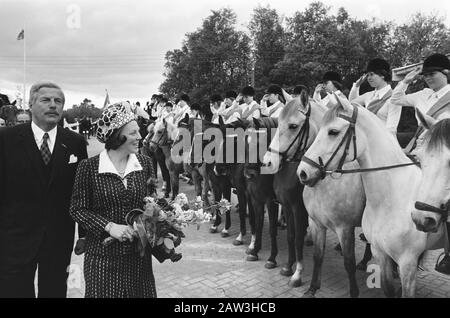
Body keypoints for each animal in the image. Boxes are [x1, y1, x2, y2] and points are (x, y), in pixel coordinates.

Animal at [262, 94, 368, 296]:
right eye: (277, 123)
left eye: (293, 126)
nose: (268, 162)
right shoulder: (297, 211)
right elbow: (295, 239)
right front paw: (290, 269)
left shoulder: (341, 226)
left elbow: (299, 239)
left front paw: (297, 274)